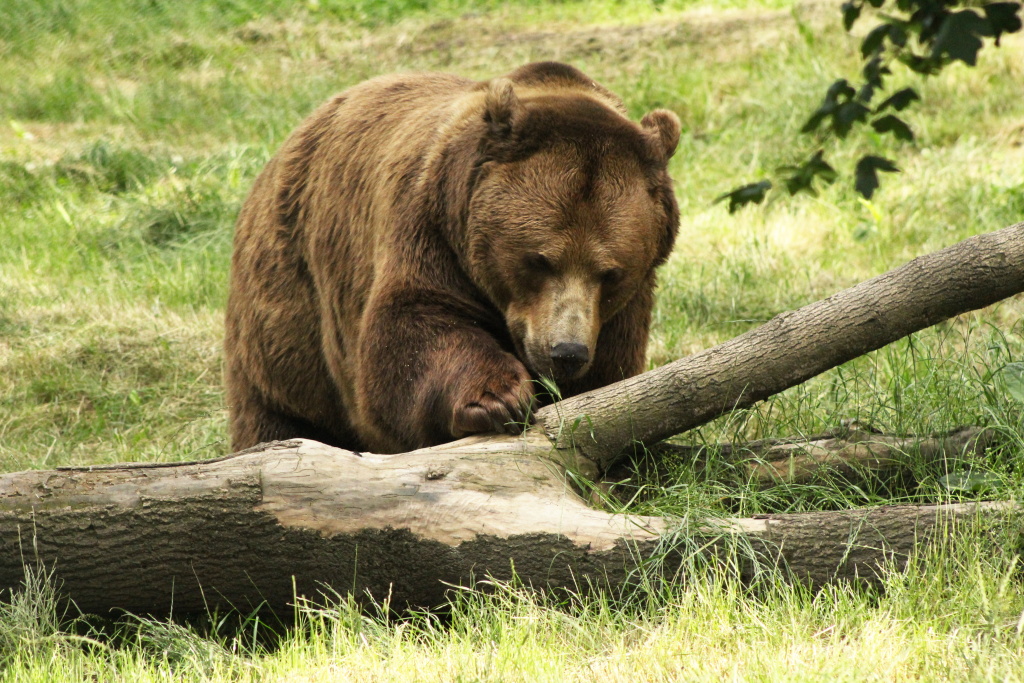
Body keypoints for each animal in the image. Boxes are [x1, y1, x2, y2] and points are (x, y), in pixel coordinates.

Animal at [228, 62, 684, 454]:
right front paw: (499, 398)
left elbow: (611, 374)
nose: (566, 352)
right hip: (290, 306)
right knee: (275, 402)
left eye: (610, 273)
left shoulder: (622, 311)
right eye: (538, 260)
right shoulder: (432, 228)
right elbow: (414, 326)